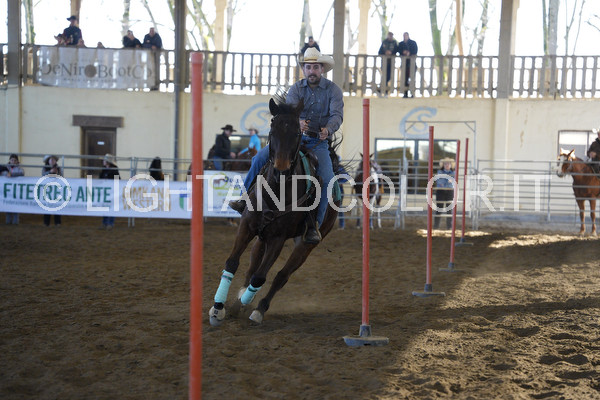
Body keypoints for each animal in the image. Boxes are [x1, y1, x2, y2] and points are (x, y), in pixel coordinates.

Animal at [208, 97, 341, 325]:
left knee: (280, 276)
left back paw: (257, 309)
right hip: (262, 236)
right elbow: (233, 263)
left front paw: (244, 306)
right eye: (272, 129)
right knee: (253, 265)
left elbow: (261, 277)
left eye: (297, 132)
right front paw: (218, 308)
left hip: (305, 244)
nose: (280, 169)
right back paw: (241, 298)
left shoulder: (278, 238)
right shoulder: (247, 226)